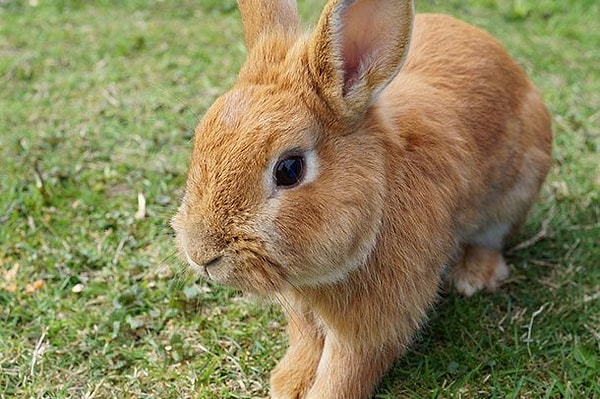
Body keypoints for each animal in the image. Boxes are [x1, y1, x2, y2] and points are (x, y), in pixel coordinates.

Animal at [170, 0, 552, 396]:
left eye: (289, 169)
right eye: (201, 138)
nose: (200, 254)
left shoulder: (379, 319)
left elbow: (348, 366)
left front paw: (320, 393)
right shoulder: (303, 311)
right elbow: (306, 341)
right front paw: (288, 384)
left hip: (515, 191)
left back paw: (474, 277)